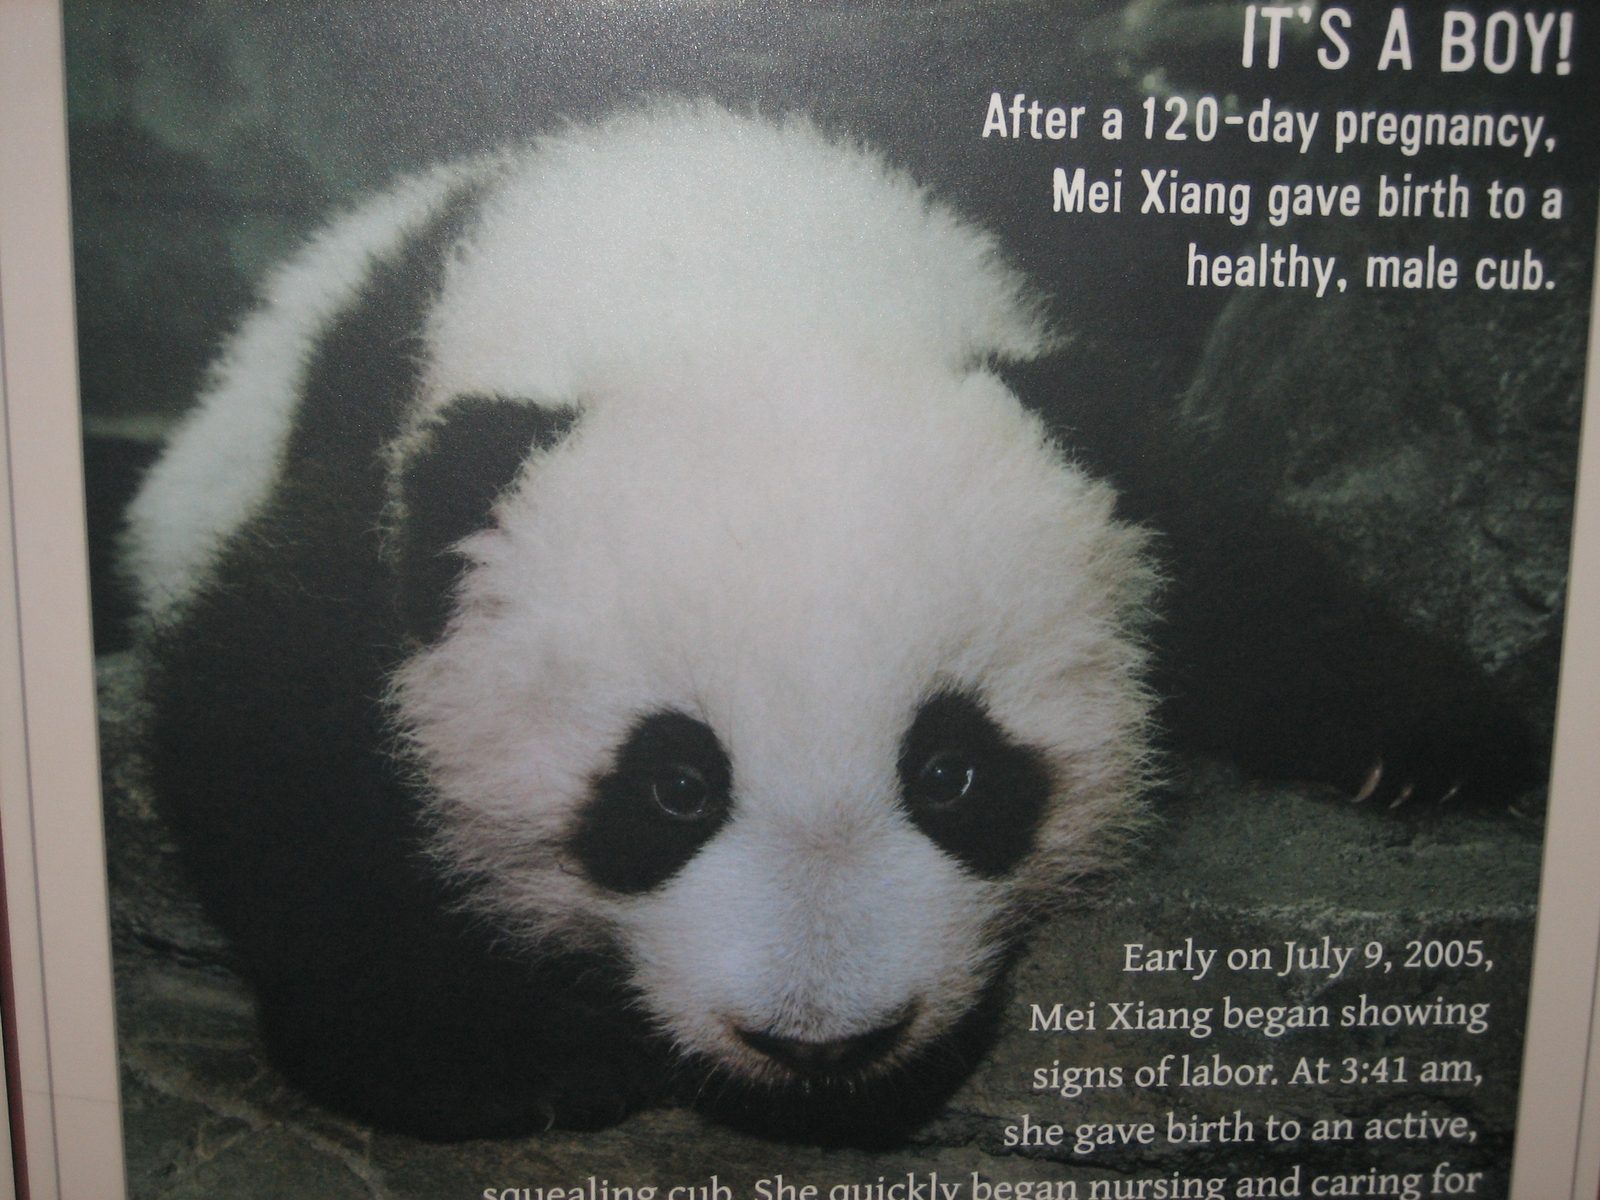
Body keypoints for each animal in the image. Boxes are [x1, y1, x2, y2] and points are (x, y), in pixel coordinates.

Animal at [121, 100, 1524, 1145]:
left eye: (953, 772)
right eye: (673, 786)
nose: (821, 1044)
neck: (733, 280)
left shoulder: (1069, 409)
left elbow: (1217, 545)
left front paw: (1425, 738)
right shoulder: (394, 511)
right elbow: (262, 722)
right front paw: (506, 1058)